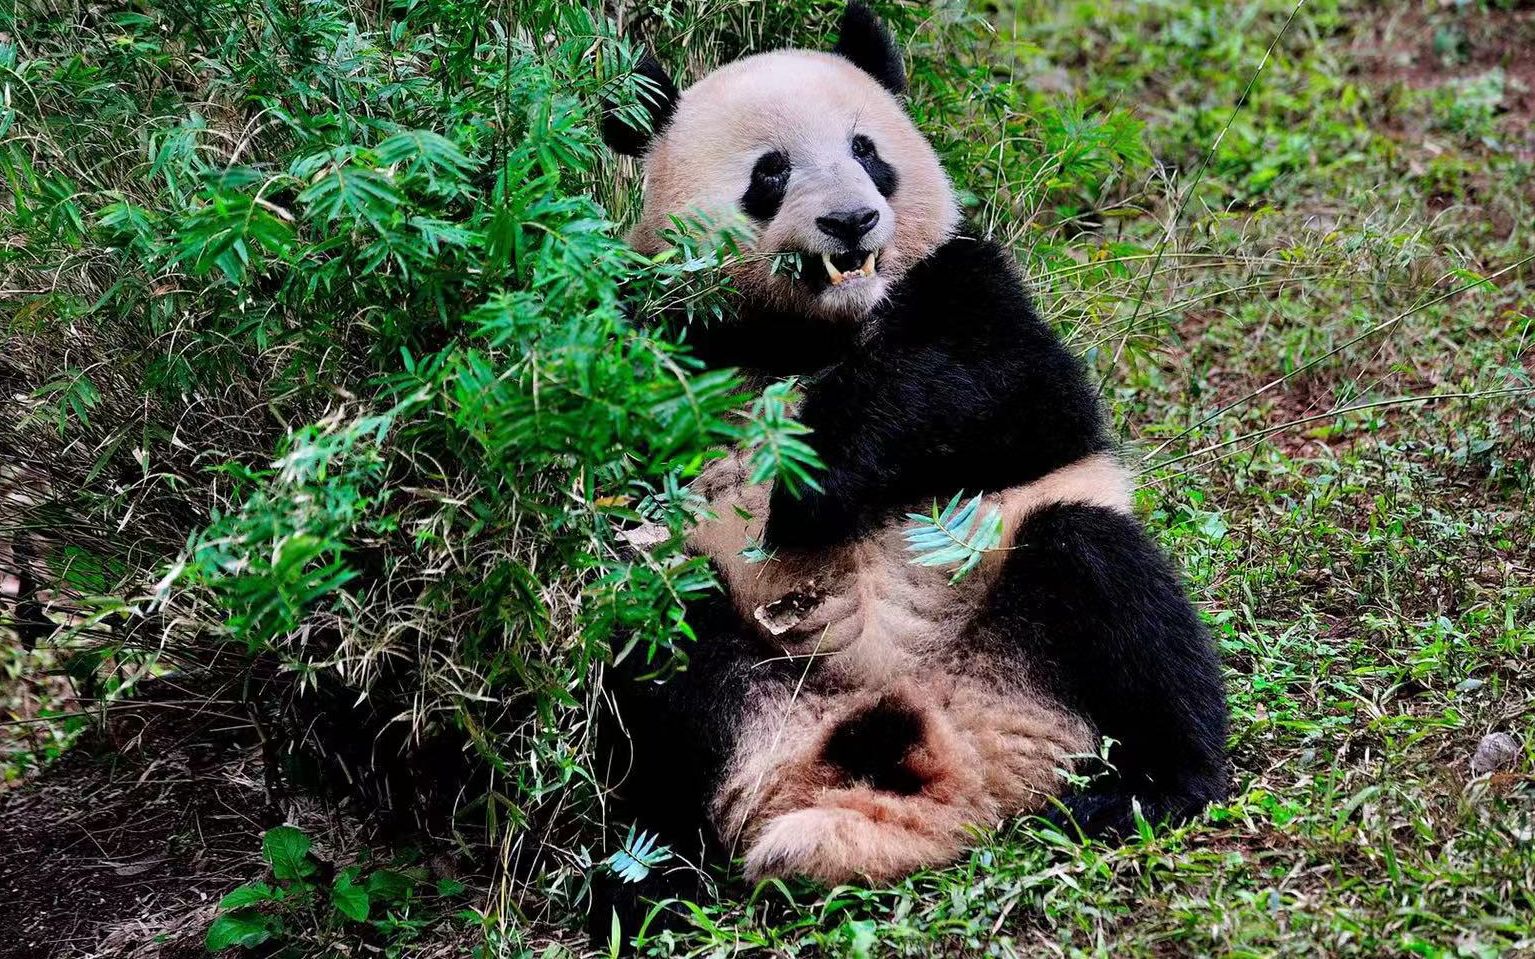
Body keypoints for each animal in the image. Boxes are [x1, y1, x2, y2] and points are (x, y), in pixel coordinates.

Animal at [592, 0, 1228, 896]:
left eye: (866, 150)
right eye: (770, 171)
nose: (850, 221)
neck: (815, 329)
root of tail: (952, 777)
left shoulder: (966, 280)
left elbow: (1017, 391)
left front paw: (812, 485)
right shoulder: (659, 335)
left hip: (1022, 617)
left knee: (1105, 577)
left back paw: (1150, 786)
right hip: (745, 673)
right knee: (658, 650)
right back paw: (653, 875)